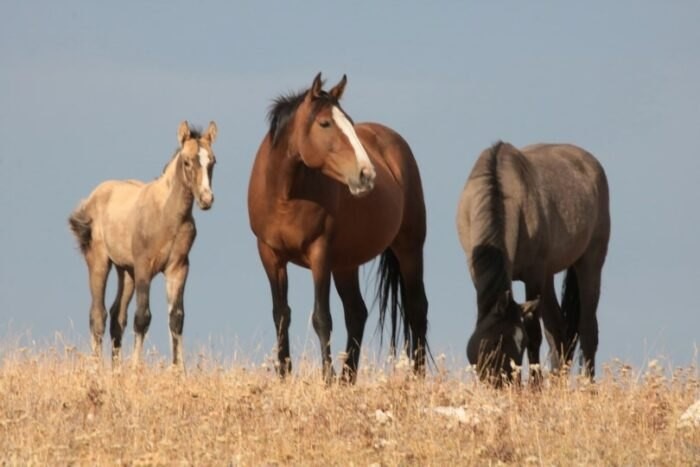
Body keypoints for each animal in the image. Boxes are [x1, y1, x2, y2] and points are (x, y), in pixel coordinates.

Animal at [68, 121, 217, 370]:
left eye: (212, 161)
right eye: (187, 162)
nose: (206, 199)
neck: (168, 216)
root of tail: (91, 199)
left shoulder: (178, 269)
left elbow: (176, 318)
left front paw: (179, 371)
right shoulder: (144, 267)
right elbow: (142, 317)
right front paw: (136, 369)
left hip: (127, 272)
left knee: (117, 317)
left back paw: (115, 370)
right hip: (100, 263)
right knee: (98, 315)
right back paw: (96, 369)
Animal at [249, 71, 430, 382]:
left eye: (350, 122)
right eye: (325, 123)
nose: (366, 174)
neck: (285, 195)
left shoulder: (320, 254)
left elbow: (322, 317)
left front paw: (326, 378)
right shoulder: (270, 255)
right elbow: (281, 314)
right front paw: (285, 374)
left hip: (409, 247)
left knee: (417, 308)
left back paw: (416, 378)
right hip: (346, 264)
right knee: (357, 313)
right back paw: (348, 378)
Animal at [456, 141, 608, 382]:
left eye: (522, 343)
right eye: (496, 342)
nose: (505, 382)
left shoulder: (534, 274)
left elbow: (535, 331)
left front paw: (536, 384)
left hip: (590, 262)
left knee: (587, 329)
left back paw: (588, 383)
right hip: (548, 275)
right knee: (558, 329)